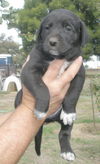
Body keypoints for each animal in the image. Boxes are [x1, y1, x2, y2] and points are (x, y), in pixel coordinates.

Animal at [14, 8, 87, 161]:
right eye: (47, 28)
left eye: (68, 28)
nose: (52, 42)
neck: (58, 57)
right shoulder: (29, 70)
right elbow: (42, 88)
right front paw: (41, 109)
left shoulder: (78, 72)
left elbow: (73, 94)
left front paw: (69, 112)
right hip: (19, 95)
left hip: (64, 124)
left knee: (64, 133)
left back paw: (67, 151)